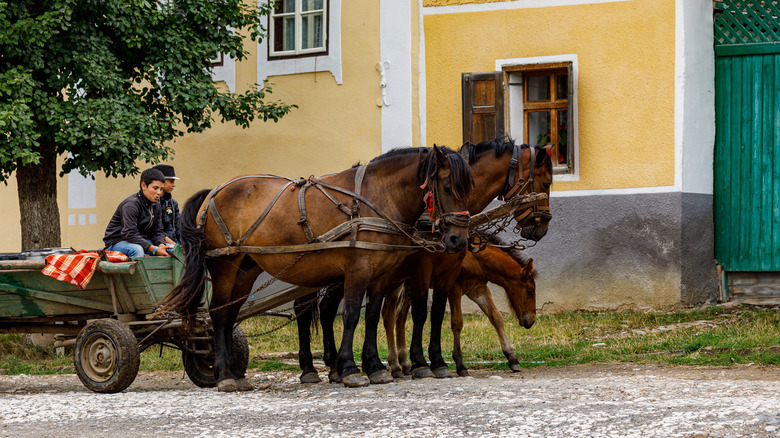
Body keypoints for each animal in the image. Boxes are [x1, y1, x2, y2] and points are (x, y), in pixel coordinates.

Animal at [159, 145, 474, 390]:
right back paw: (224, 375)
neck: (377, 196)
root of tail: (214, 191)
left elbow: (371, 316)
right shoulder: (358, 269)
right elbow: (351, 315)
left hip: (245, 270)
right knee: (219, 314)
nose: (458, 240)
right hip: (225, 265)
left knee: (230, 315)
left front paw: (374, 367)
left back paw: (236, 373)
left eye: (468, 189)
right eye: (447, 188)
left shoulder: (381, 275)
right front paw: (349, 369)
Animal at [383, 241, 536, 378]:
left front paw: (512, 358)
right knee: (389, 315)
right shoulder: (454, 288)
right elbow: (457, 322)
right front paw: (460, 364)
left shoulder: (479, 290)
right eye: (530, 291)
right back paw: (396, 366)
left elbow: (496, 317)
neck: (476, 260)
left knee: (400, 316)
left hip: (409, 285)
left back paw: (405, 364)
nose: (532, 321)